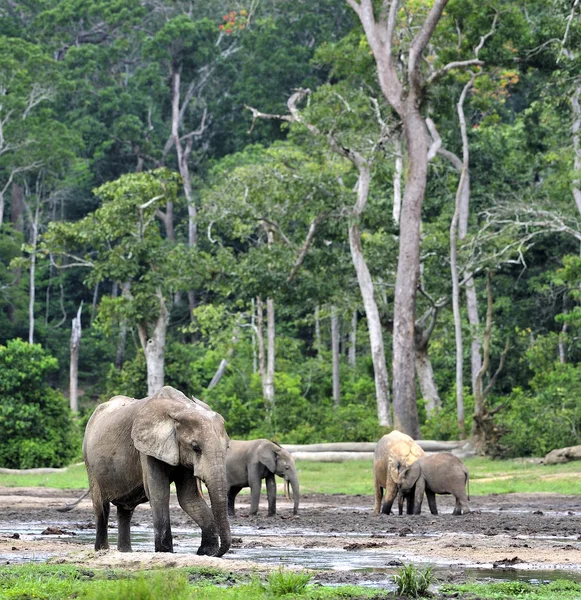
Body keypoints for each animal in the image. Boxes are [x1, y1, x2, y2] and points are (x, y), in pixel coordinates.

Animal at [82, 386, 231, 556]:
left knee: (125, 510)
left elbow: (189, 498)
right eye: (196, 448)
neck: (180, 407)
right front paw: (165, 552)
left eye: (227, 447)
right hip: (88, 461)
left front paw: (205, 552)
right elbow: (159, 493)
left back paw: (125, 552)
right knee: (101, 507)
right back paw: (102, 550)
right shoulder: (146, 448)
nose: (216, 553)